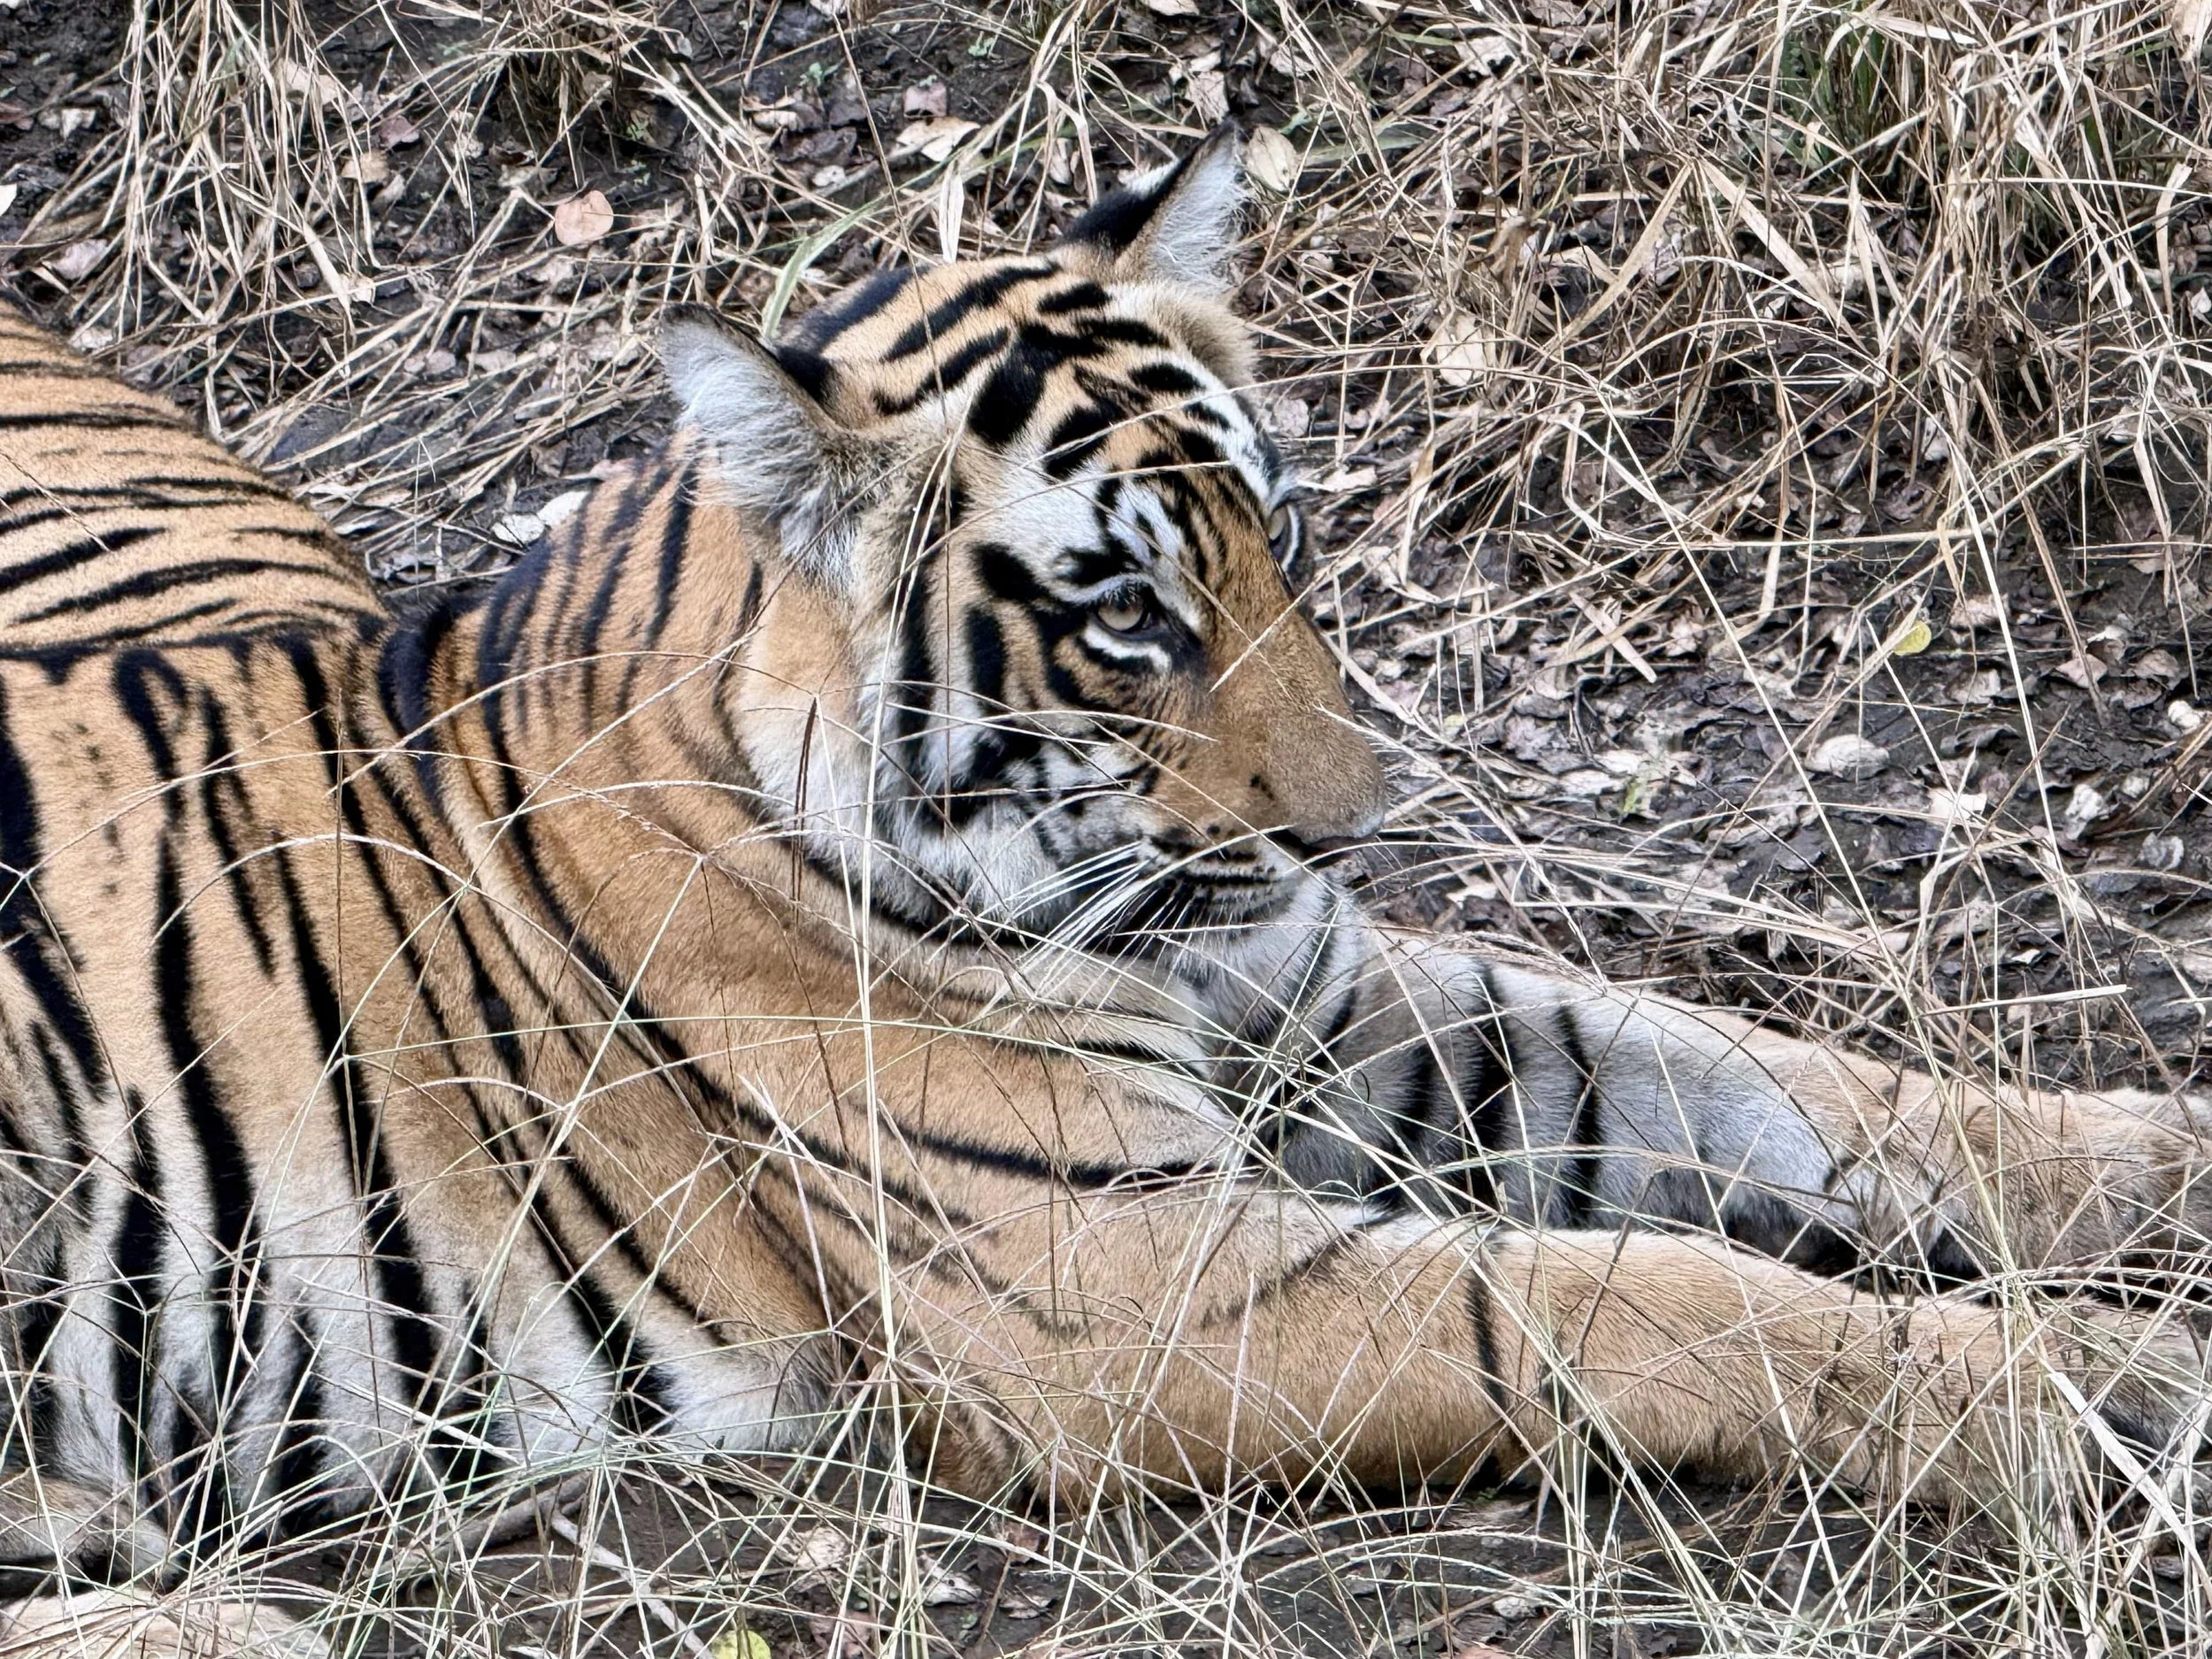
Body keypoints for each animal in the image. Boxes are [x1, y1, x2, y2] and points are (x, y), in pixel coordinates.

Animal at [0, 124, 2204, 1645]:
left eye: (1277, 536)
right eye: (1123, 612)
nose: (1347, 829)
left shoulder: (1342, 1012)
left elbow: (1802, 1088)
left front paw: (2154, 1167)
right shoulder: (1130, 1283)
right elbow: (1635, 1297)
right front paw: (2111, 1391)